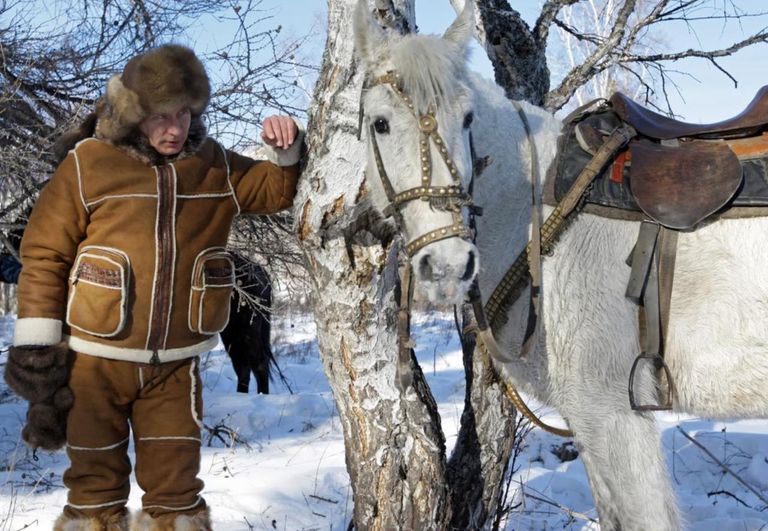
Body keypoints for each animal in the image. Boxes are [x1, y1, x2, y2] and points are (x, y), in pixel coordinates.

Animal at [354, 2, 768, 528]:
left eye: (467, 119)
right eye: (381, 123)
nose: (448, 264)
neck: (534, 209)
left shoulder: (611, 413)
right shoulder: (591, 421)